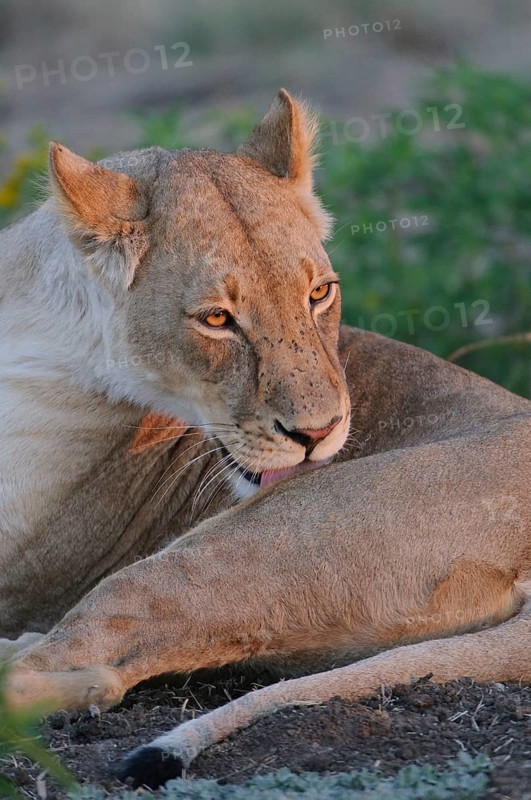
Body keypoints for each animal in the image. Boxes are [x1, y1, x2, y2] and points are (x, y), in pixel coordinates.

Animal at [1, 90, 529, 790]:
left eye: (320, 292)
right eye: (217, 319)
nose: (319, 432)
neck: (43, 324)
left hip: (255, 545)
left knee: (90, 668)